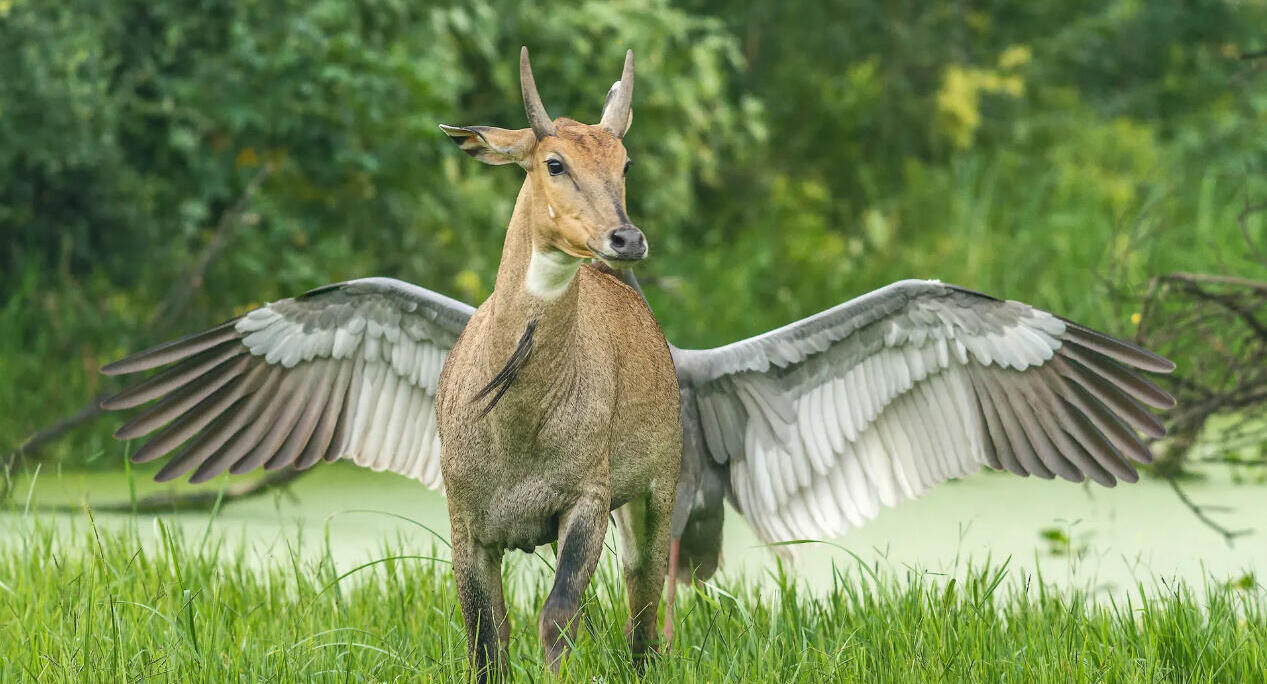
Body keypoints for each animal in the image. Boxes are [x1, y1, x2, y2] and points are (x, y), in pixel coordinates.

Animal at [98, 42, 1175, 673]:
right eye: (551, 161)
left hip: (659, 508)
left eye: (624, 160)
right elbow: (486, 641)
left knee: (648, 623)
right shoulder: (464, 521)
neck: (520, 410)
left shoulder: (587, 506)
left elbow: (560, 626)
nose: (627, 238)